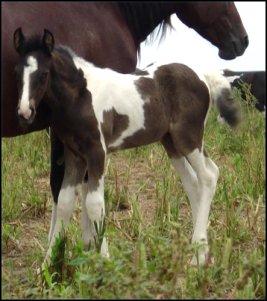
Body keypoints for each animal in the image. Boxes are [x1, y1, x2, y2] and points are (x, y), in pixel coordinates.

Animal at [1, 1, 249, 227]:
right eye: (16, 72)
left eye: (43, 74)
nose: (242, 41)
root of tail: (203, 75)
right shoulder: (74, 147)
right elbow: (67, 197)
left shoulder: (93, 147)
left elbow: (86, 201)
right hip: (174, 140)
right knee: (196, 181)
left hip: (184, 138)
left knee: (206, 177)